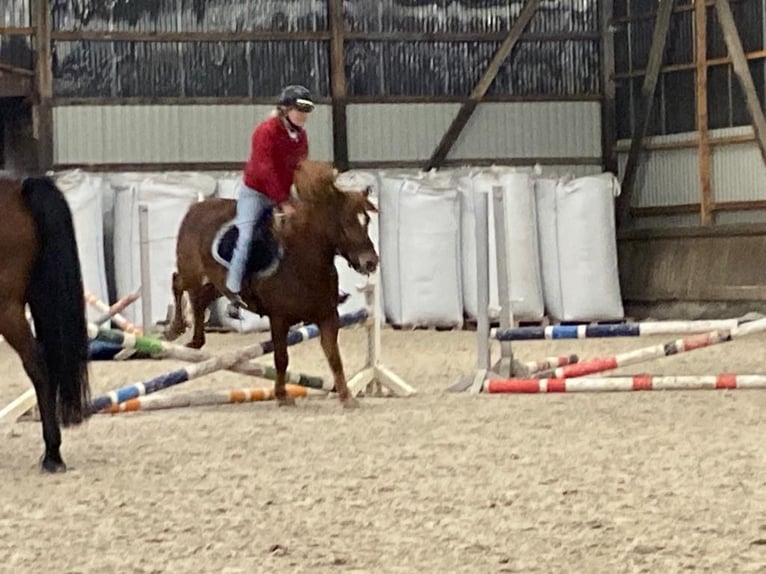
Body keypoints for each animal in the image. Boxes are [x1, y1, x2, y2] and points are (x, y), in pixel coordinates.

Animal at [164, 159, 380, 410]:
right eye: (344, 224)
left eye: (367, 221)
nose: (370, 262)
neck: (302, 261)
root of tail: (197, 207)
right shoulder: (279, 319)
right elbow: (281, 357)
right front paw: (282, 395)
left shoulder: (327, 316)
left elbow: (334, 358)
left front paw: (347, 397)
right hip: (192, 272)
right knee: (179, 283)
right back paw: (174, 328)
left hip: (219, 285)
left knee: (200, 299)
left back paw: (196, 340)